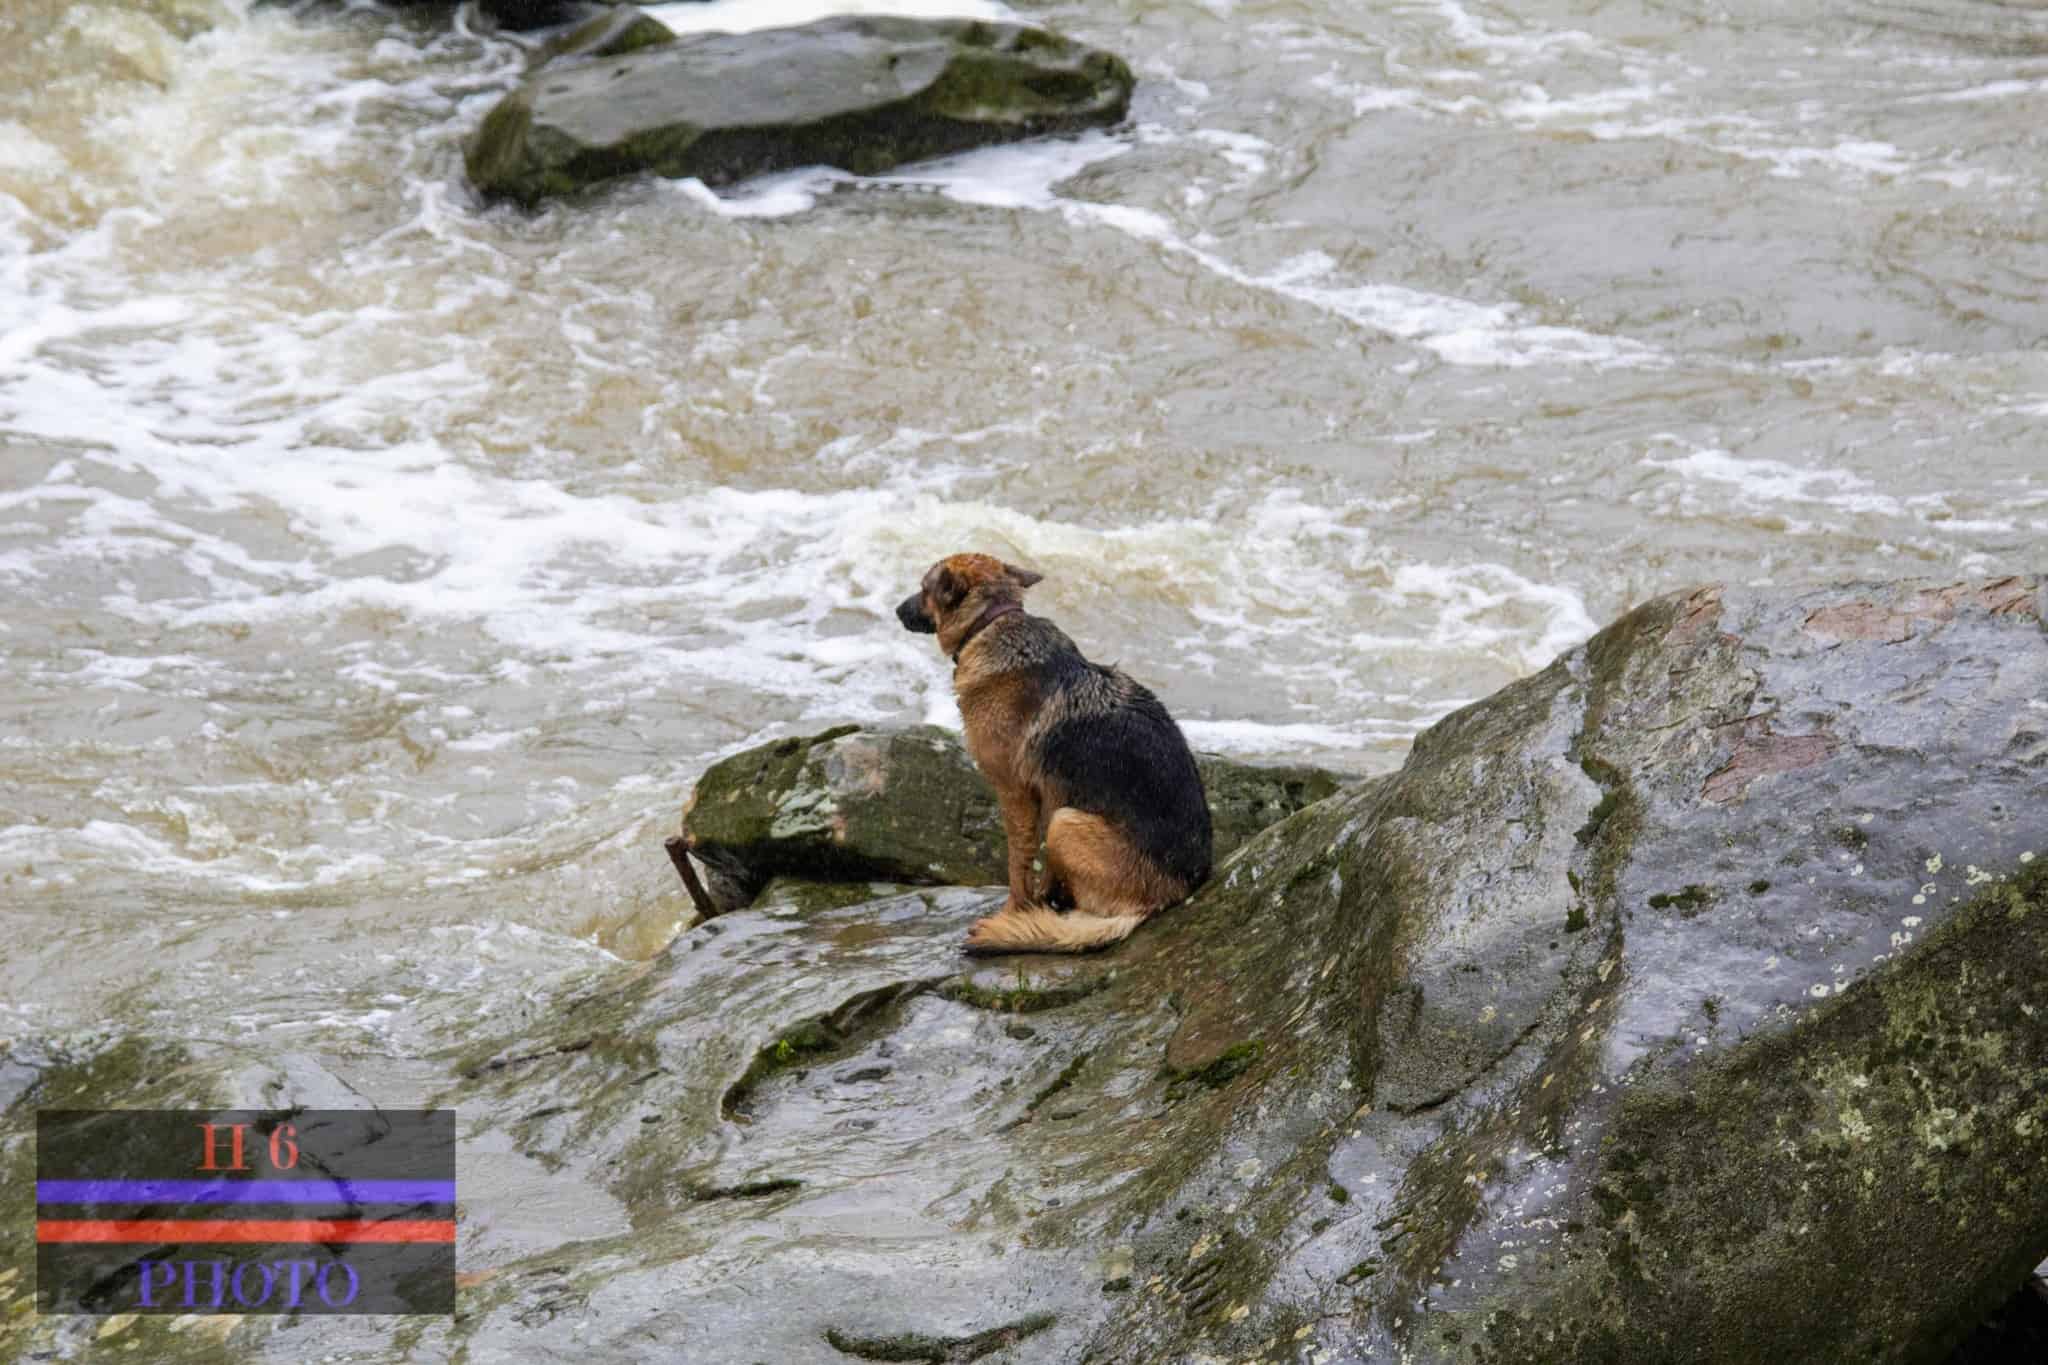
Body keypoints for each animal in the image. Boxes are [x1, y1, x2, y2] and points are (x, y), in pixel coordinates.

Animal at [897, 548, 1212, 957]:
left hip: (1066, 822)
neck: (991, 623)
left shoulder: (1015, 794)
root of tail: (1168, 895)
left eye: (923, 588)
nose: (896, 610)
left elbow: (1018, 864)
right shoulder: (1042, 798)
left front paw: (1014, 913)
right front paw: (1038, 902)